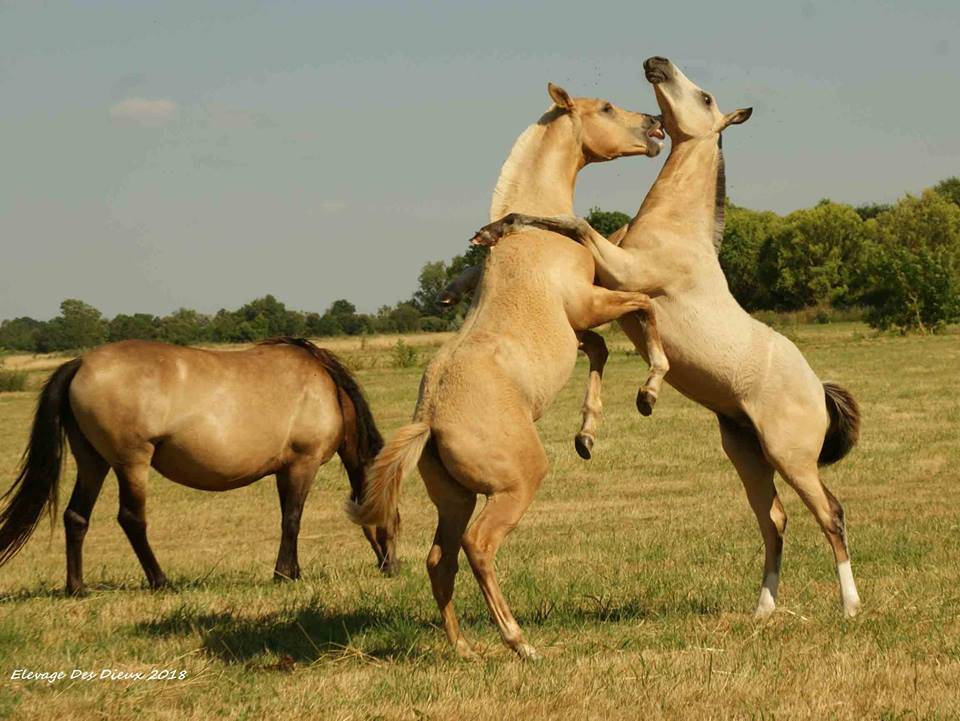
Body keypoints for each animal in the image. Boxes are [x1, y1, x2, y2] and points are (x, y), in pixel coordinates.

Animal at [0, 337, 393, 595]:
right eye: (395, 514)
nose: (392, 566)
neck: (327, 390)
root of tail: (80, 363)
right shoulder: (301, 464)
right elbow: (292, 520)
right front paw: (285, 575)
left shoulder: (286, 470)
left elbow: (288, 519)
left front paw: (291, 571)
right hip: (131, 463)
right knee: (132, 519)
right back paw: (160, 581)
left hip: (93, 462)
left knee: (76, 517)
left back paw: (77, 588)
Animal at [348, 83, 667, 660]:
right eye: (605, 108)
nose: (655, 124)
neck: (534, 230)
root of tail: (429, 420)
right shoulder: (587, 304)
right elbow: (644, 307)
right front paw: (649, 390)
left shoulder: (579, 325)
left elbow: (600, 352)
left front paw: (587, 434)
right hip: (514, 486)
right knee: (478, 547)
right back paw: (519, 642)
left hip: (455, 500)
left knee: (440, 560)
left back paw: (463, 649)